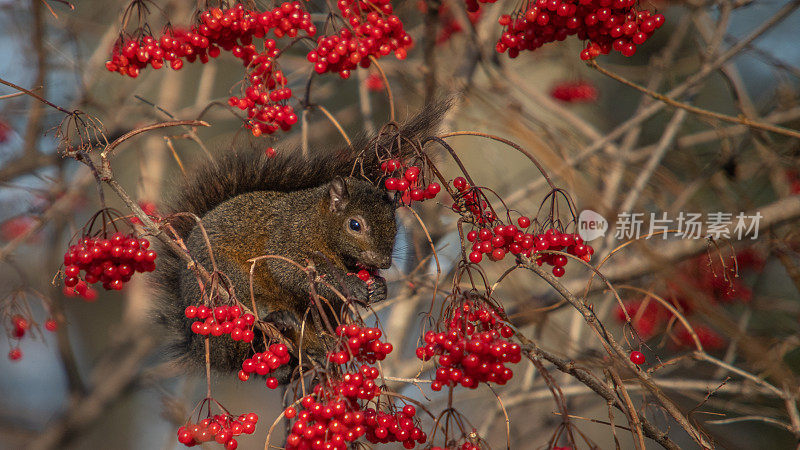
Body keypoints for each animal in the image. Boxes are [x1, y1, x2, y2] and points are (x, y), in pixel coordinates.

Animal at [153, 103, 446, 380]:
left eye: (394, 225)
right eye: (355, 225)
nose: (383, 262)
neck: (319, 224)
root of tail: (201, 348)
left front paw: (379, 289)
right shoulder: (287, 236)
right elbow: (290, 270)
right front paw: (351, 284)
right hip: (227, 285)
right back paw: (277, 320)